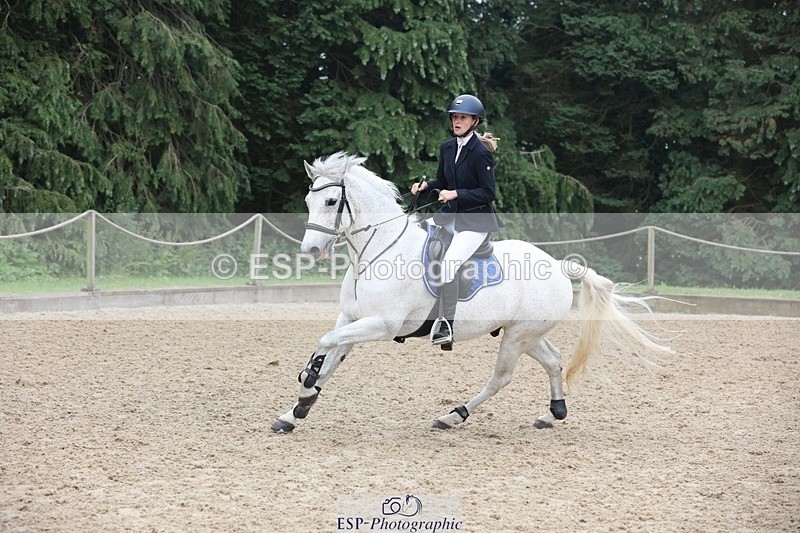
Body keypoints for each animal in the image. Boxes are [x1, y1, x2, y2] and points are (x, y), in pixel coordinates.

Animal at [271, 152, 670, 432]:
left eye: (330, 203)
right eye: (308, 202)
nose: (310, 251)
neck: (378, 250)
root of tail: (558, 265)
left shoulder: (381, 325)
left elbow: (325, 344)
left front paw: (306, 387)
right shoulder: (352, 318)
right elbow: (331, 355)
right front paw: (296, 410)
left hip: (516, 338)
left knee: (501, 378)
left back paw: (454, 415)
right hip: (524, 332)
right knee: (553, 359)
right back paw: (553, 413)